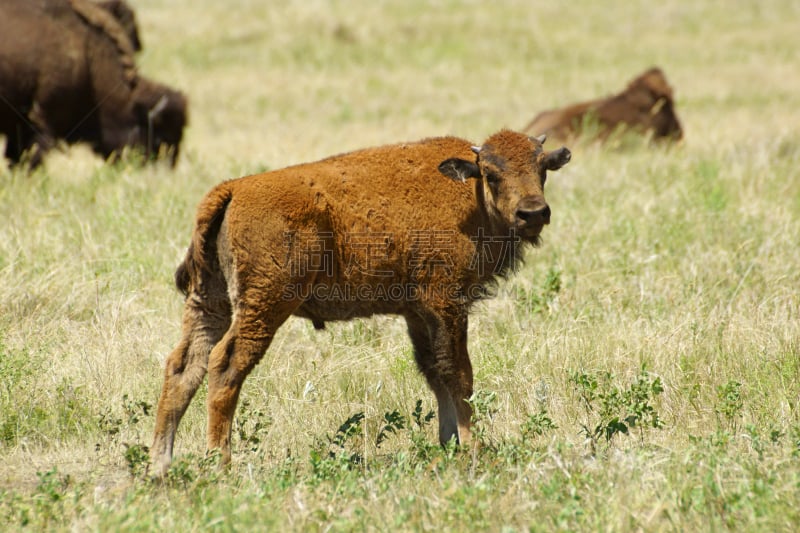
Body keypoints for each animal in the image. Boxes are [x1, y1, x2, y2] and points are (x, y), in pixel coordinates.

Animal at [152, 129, 576, 474]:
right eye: (491, 173)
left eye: (542, 167)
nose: (533, 213)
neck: (469, 195)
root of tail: (232, 190)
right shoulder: (447, 303)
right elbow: (459, 374)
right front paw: (472, 446)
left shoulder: (418, 314)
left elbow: (435, 373)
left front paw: (447, 443)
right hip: (265, 305)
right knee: (224, 365)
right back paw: (220, 463)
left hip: (210, 302)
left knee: (183, 366)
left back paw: (161, 466)